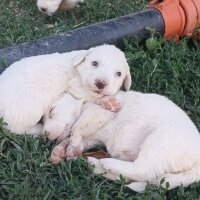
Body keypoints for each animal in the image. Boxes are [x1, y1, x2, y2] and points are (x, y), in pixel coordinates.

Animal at [0, 44, 131, 134]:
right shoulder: (75, 87)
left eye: (118, 74)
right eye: (94, 63)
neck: (77, 68)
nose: (101, 83)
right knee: (18, 129)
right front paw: (108, 101)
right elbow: (91, 96)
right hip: (30, 111)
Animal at [49, 90, 200, 191]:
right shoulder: (94, 137)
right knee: (130, 177)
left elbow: (76, 128)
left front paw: (69, 149)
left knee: (143, 170)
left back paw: (106, 163)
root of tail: (197, 164)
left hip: (160, 140)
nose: (45, 134)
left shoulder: (97, 112)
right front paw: (60, 151)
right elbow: (73, 139)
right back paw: (93, 163)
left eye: (51, 111)